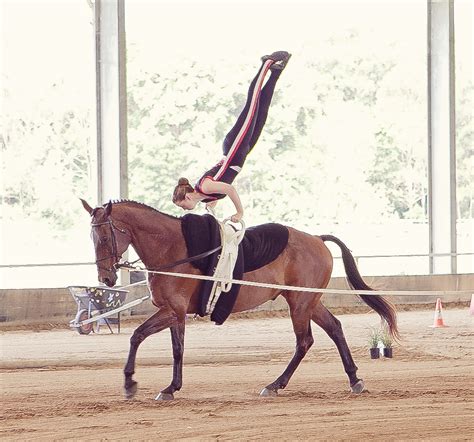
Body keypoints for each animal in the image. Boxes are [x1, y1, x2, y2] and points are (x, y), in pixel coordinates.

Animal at [80, 200, 396, 400]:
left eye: (105, 237)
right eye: (91, 237)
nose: (106, 278)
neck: (172, 248)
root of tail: (317, 239)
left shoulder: (172, 310)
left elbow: (139, 336)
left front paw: (132, 383)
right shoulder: (176, 314)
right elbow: (175, 348)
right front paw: (170, 387)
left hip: (300, 304)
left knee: (305, 341)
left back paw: (275, 384)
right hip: (308, 302)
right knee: (334, 328)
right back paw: (353, 379)